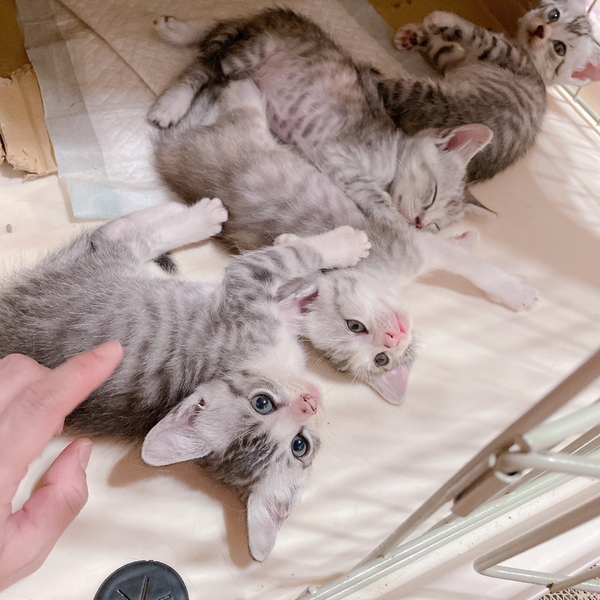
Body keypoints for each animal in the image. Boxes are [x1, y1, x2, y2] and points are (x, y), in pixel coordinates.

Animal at [0, 198, 372, 561]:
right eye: (262, 403)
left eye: (299, 446)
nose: (309, 403)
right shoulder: (246, 290)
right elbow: (295, 257)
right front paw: (340, 246)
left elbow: (288, 297)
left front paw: (305, 297)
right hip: (102, 270)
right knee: (123, 239)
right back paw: (199, 216)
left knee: (109, 236)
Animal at [148, 8, 494, 232]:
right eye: (432, 194)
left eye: (436, 225)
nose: (420, 223)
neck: (395, 155)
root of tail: (274, 16)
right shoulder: (336, 154)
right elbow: (376, 196)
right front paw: (396, 222)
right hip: (251, 52)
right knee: (205, 64)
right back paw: (171, 103)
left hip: (245, 43)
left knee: (219, 31)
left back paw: (177, 30)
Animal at [153, 76, 539, 407]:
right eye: (357, 330)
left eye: (382, 356)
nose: (394, 337)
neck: (384, 278)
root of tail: (171, 151)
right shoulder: (409, 242)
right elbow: (471, 266)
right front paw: (515, 289)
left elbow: (457, 251)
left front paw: (468, 239)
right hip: (247, 125)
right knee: (239, 96)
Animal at [380, 1, 600, 225]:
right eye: (554, 15)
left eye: (559, 48)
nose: (541, 30)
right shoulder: (454, 61)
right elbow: (442, 48)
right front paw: (414, 36)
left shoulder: (507, 55)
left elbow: (479, 36)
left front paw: (441, 19)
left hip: (427, 94)